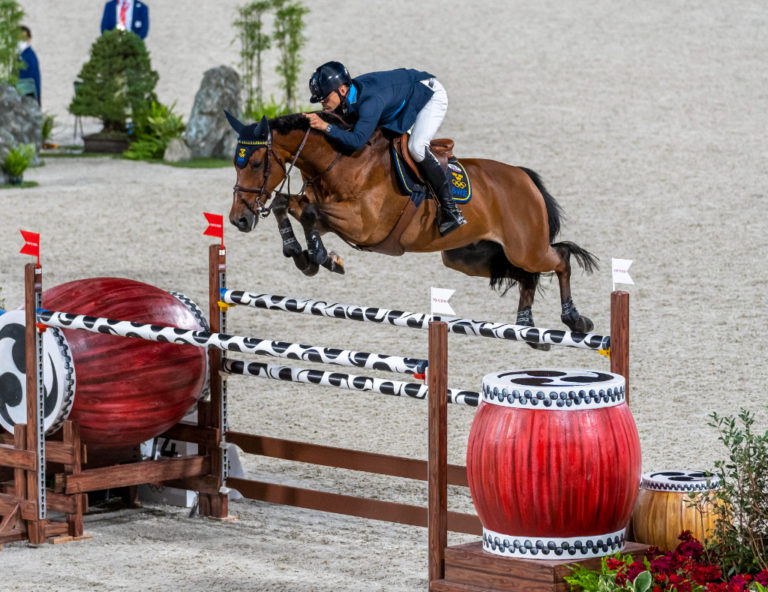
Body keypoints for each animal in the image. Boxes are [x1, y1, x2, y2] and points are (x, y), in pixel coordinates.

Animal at [225, 111, 598, 346]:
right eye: (235, 162)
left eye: (255, 163)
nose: (238, 219)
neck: (343, 159)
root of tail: (524, 177)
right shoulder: (330, 214)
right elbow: (287, 206)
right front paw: (303, 254)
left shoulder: (364, 225)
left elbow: (309, 212)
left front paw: (319, 257)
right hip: (467, 257)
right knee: (526, 275)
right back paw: (527, 330)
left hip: (526, 247)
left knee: (560, 258)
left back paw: (574, 320)